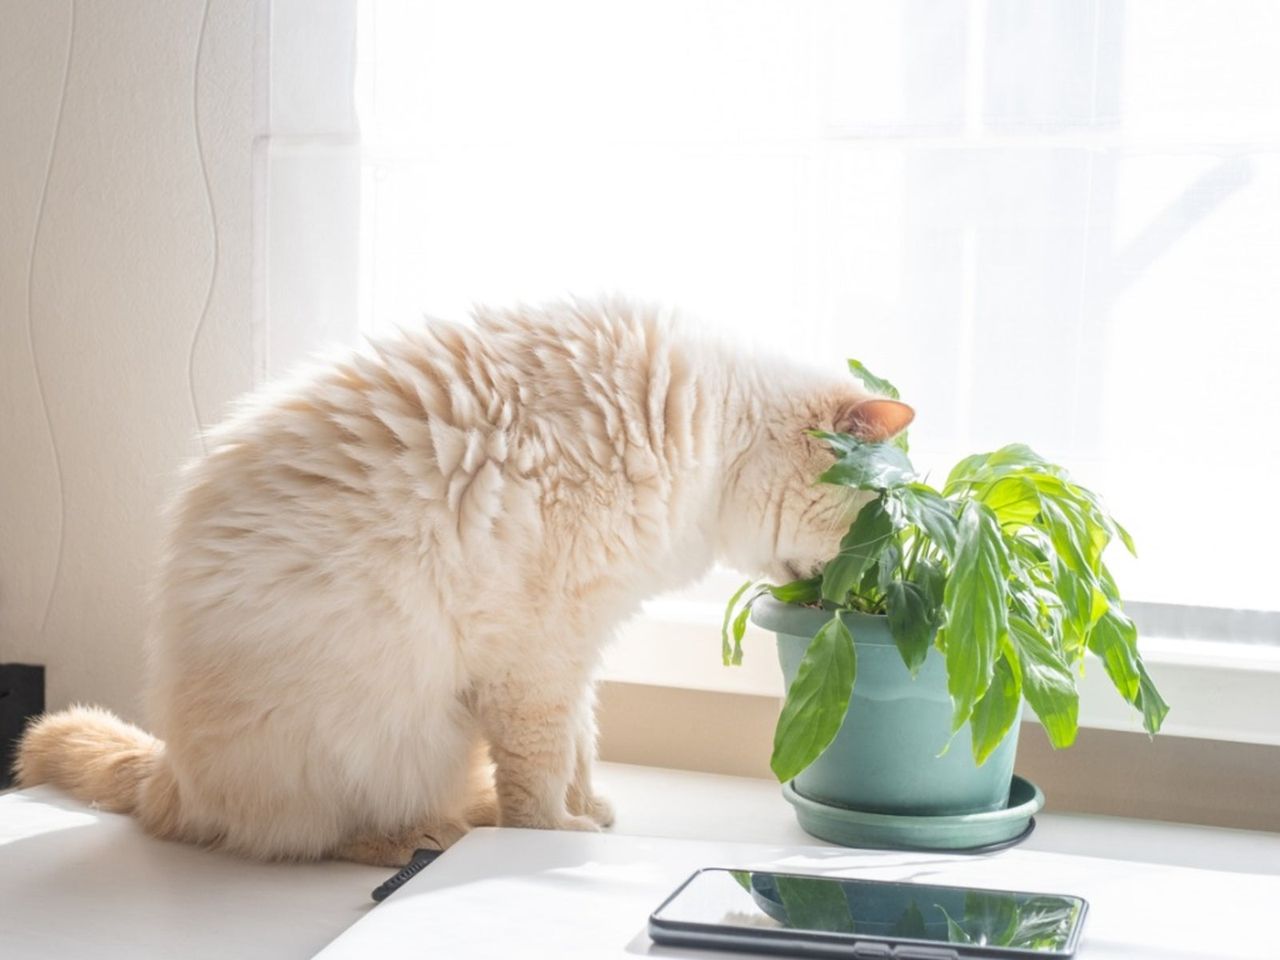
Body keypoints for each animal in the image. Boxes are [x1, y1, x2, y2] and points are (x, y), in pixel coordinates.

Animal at [12, 296, 911, 870]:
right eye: (879, 522)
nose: (859, 594)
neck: (710, 431)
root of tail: (176, 770)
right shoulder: (539, 659)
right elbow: (541, 777)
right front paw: (556, 838)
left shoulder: (579, 649)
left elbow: (580, 748)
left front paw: (587, 814)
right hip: (386, 735)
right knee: (305, 834)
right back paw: (418, 841)